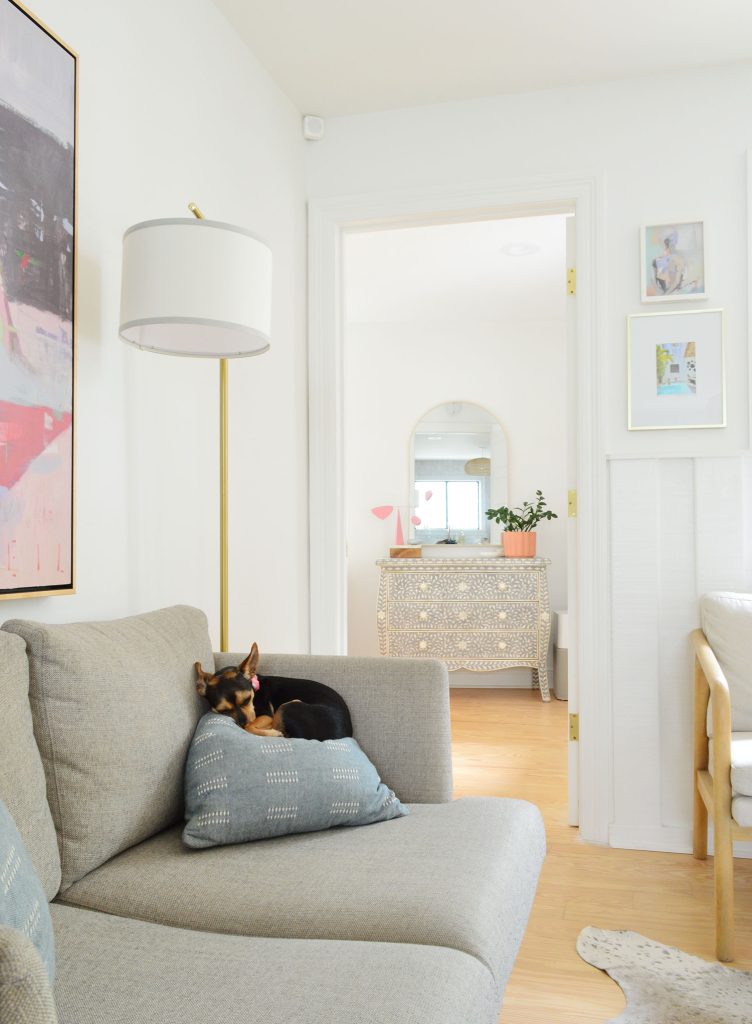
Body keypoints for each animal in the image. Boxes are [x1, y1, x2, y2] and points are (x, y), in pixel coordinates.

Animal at [194, 643, 352, 741]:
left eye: (247, 699)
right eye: (224, 711)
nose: (241, 723)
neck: (254, 688)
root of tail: (345, 734)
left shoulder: (267, 715)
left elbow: (250, 726)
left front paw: (266, 730)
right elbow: (250, 726)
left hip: (287, 706)